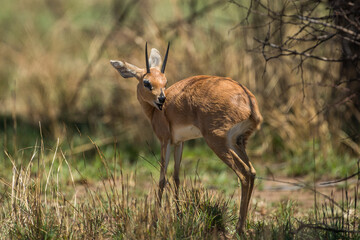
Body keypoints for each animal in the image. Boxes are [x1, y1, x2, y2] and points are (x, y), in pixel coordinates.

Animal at [109, 43, 262, 234]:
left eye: (165, 82)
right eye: (147, 82)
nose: (161, 99)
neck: (156, 113)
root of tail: (249, 102)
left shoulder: (165, 141)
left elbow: (162, 179)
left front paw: (154, 223)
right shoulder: (179, 143)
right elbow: (176, 177)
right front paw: (179, 217)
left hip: (217, 142)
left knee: (244, 173)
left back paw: (239, 228)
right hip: (238, 142)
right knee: (252, 172)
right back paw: (243, 226)